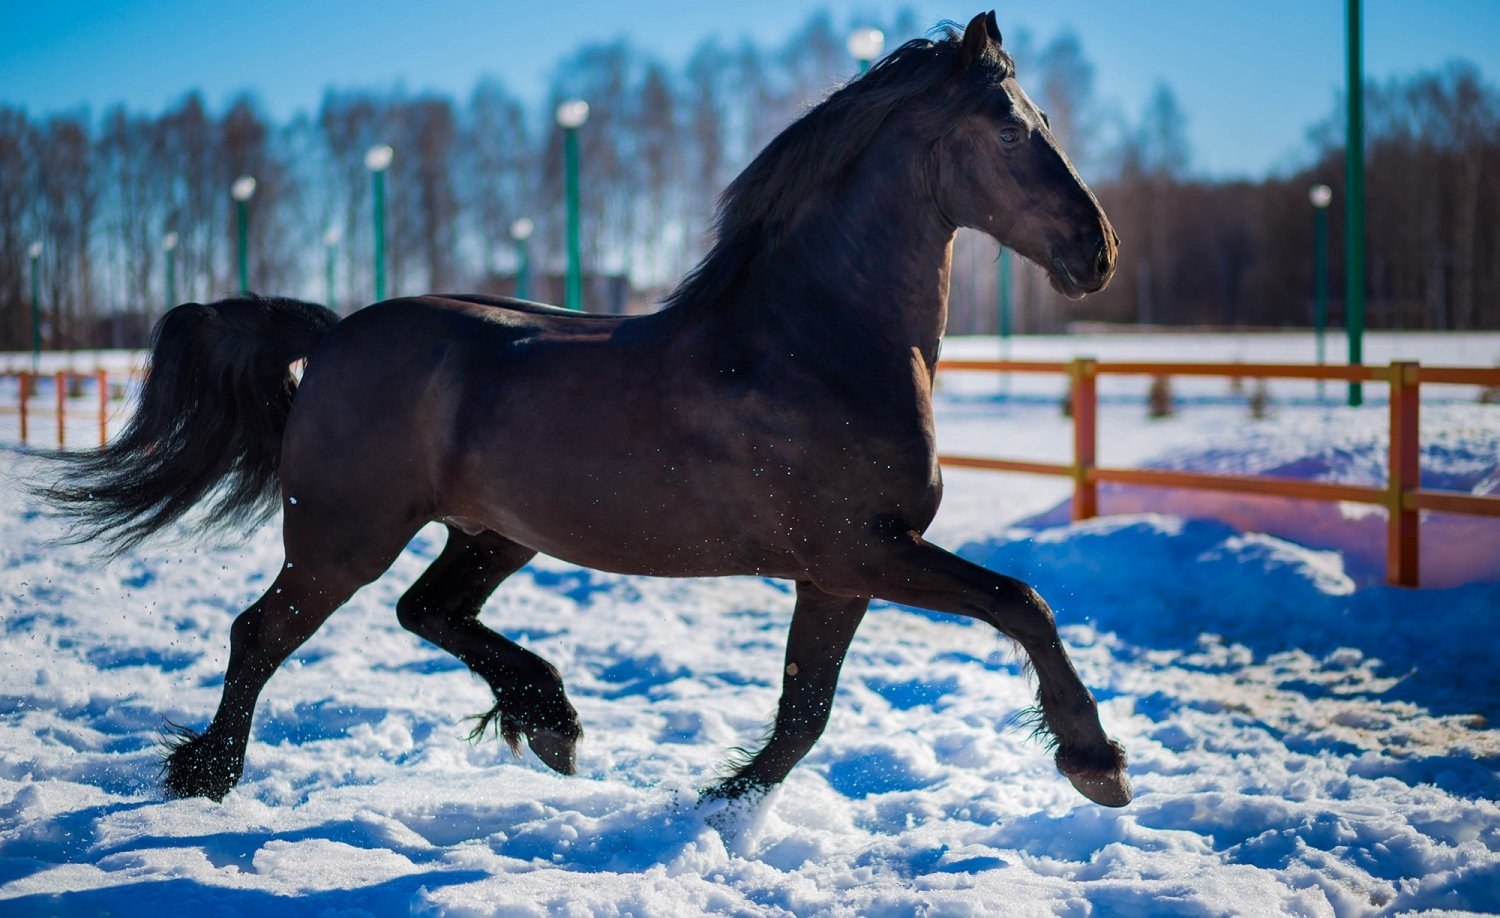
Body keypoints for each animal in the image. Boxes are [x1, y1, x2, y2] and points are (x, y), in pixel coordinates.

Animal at [38, 10, 1128, 804]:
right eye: (1012, 127)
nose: (1098, 250)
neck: (817, 343)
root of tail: (336, 332)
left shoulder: (841, 572)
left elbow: (803, 714)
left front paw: (720, 804)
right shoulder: (862, 549)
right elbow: (1019, 602)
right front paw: (1097, 765)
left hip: (493, 533)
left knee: (425, 610)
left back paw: (551, 718)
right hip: (343, 537)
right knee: (259, 635)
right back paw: (209, 773)